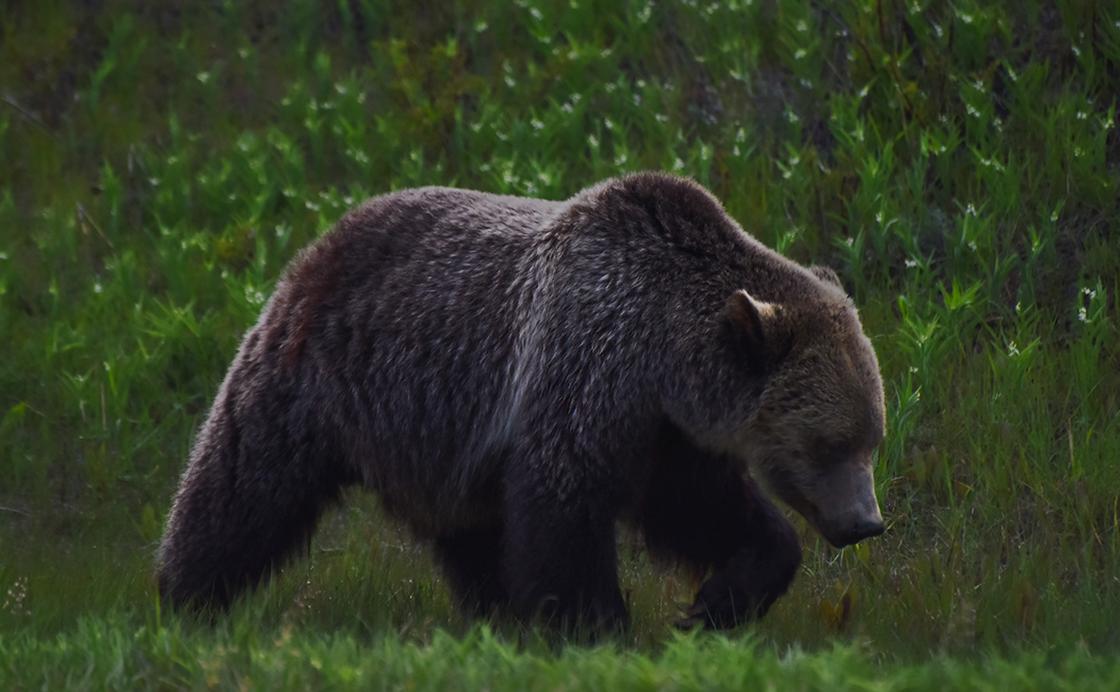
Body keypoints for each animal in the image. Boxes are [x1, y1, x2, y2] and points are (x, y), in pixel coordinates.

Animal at [157, 171, 887, 631]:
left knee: (471, 538)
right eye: (828, 441)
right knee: (243, 488)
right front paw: (596, 628)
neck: (662, 357)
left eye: (872, 438)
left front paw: (714, 605)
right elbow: (561, 511)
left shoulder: (666, 432)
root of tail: (320, 238)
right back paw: (184, 599)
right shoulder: (585, 368)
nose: (866, 523)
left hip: (443, 446)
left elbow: (705, 510)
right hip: (316, 378)